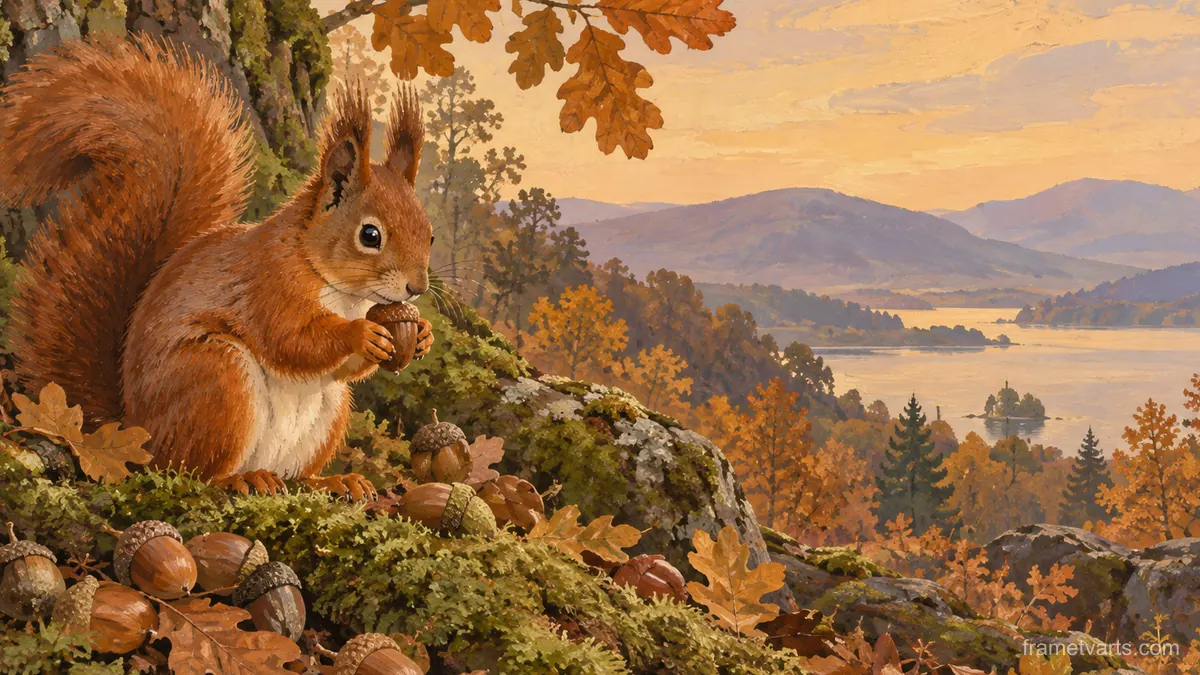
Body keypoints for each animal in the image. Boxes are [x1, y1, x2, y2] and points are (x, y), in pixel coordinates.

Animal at [0, 36, 435, 498]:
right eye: (370, 235)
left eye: (429, 235)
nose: (417, 288)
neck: (343, 291)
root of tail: (136, 433)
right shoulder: (267, 284)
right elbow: (292, 341)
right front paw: (361, 334)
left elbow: (343, 370)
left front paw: (420, 335)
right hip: (218, 380)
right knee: (192, 470)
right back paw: (242, 478)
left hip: (327, 414)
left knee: (296, 475)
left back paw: (333, 480)